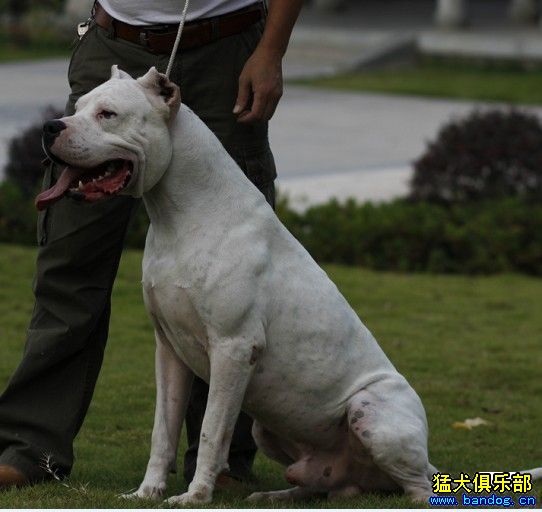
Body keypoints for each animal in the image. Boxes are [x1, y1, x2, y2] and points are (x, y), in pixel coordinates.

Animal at [39, 67, 542, 504]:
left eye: (108, 114)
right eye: (78, 106)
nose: (49, 126)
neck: (181, 215)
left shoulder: (234, 348)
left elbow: (211, 431)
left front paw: (195, 496)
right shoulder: (168, 350)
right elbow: (162, 430)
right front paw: (147, 493)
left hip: (371, 410)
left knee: (415, 486)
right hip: (273, 432)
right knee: (324, 486)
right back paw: (275, 495)